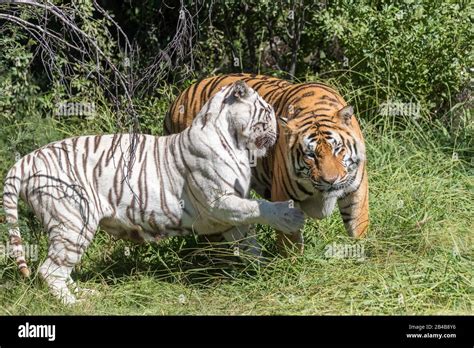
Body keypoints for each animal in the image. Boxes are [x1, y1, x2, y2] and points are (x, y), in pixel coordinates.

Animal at [1, 81, 306, 304]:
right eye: (267, 113)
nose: (278, 130)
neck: (235, 140)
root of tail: (25, 160)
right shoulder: (219, 201)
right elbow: (258, 208)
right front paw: (288, 215)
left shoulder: (229, 213)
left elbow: (249, 238)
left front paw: (261, 270)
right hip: (73, 221)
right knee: (49, 271)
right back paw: (74, 303)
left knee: (61, 270)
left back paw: (85, 293)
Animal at [165, 74, 368, 253]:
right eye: (310, 154)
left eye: (337, 149)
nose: (331, 181)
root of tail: (177, 100)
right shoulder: (285, 196)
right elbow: (290, 242)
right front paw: (293, 267)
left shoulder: (356, 190)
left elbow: (358, 226)